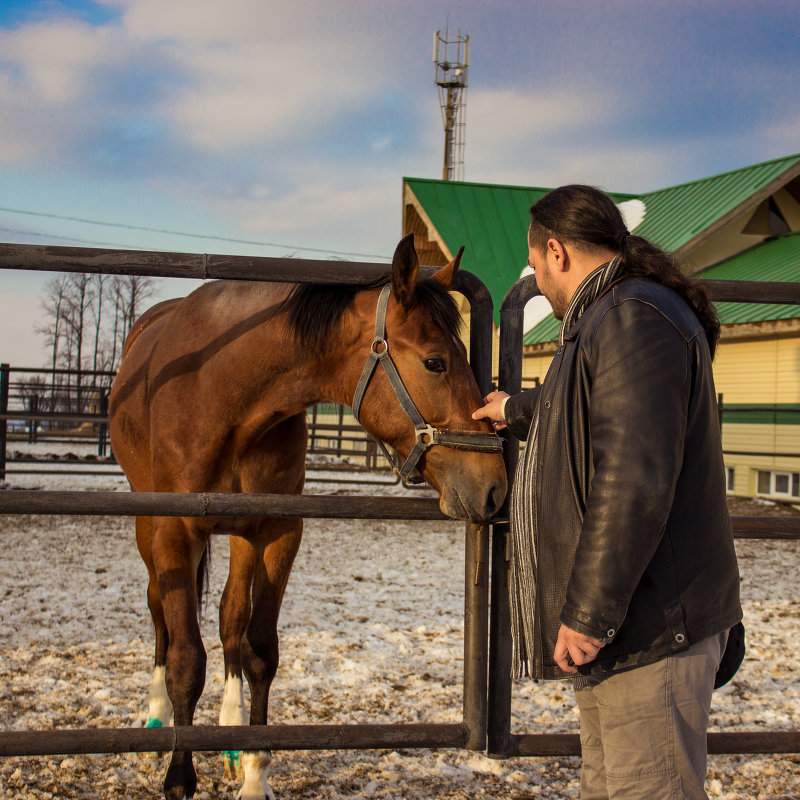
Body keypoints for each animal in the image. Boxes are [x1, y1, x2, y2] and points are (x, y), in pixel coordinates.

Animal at [108, 234, 506, 800]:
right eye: (435, 363)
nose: (494, 484)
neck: (223, 390)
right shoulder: (174, 532)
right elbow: (187, 659)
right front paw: (179, 779)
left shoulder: (278, 531)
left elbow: (259, 650)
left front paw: (255, 773)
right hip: (150, 525)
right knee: (159, 612)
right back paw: (158, 717)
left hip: (240, 536)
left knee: (230, 618)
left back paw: (229, 736)